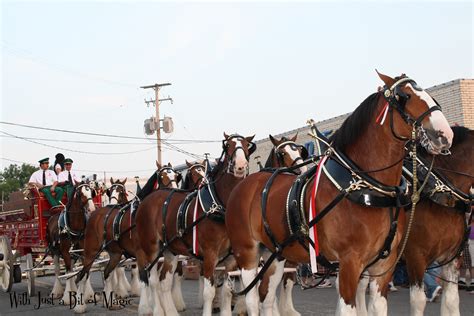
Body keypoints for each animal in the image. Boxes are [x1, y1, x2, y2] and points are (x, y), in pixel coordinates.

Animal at [225, 72, 452, 316]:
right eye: (404, 96)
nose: (445, 134)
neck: (365, 188)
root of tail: (243, 184)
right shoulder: (349, 264)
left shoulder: (383, 266)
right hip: (247, 253)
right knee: (251, 299)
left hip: (276, 255)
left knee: (266, 298)